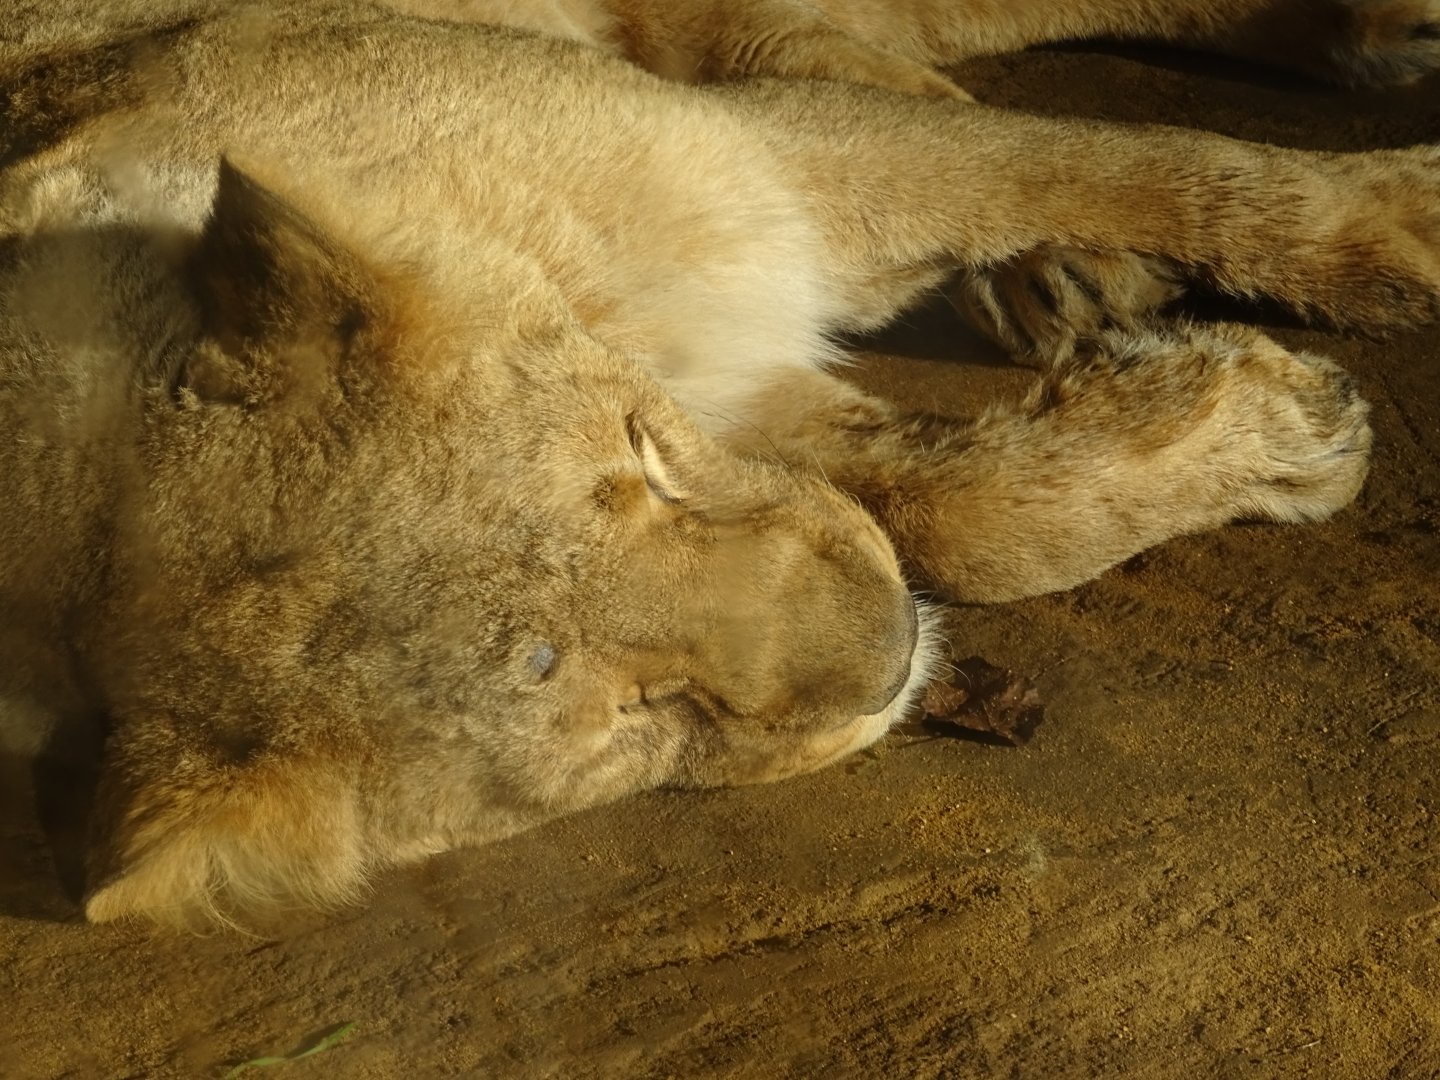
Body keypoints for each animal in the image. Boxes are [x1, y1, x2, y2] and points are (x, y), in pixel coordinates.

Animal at [0, 0, 1435, 927]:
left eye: (639, 465)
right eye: (637, 716)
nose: (889, 654)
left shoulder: (757, 155)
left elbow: (1151, 166)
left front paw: (1403, 227)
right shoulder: (777, 395)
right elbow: (955, 509)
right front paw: (1278, 429)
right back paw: (1074, 283)